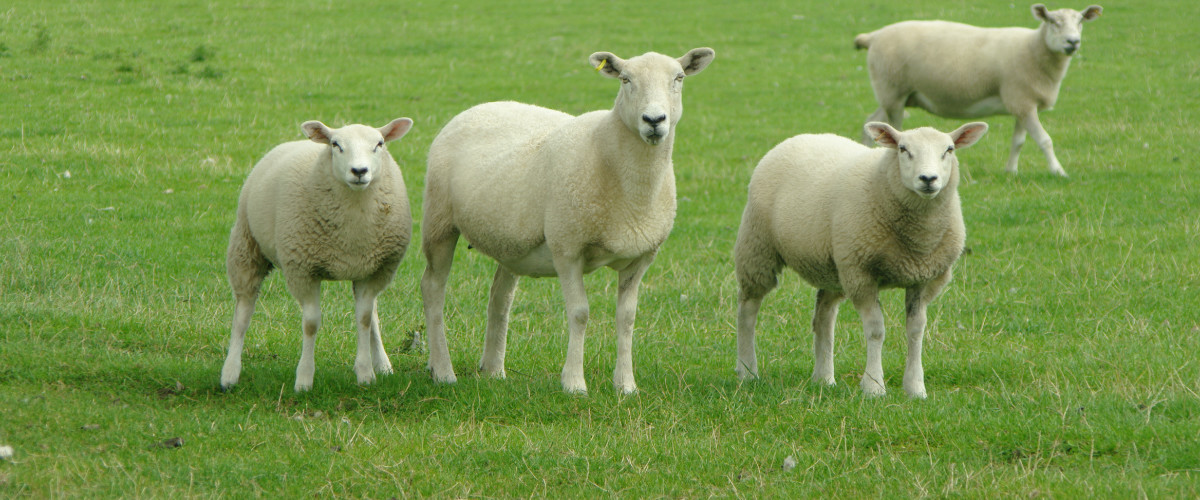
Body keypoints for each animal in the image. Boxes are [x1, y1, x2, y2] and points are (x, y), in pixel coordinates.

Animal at [223, 116, 415, 388]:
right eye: (336, 145)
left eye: (379, 144)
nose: (359, 171)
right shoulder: (302, 269)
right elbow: (311, 324)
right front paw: (304, 379)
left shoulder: (373, 270)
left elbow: (365, 319)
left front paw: (366, 373)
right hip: (246, 245)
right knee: (243, 312)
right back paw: (230, 372)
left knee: (374, 316)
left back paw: (383, 364)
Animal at [420, 46, 710, 393]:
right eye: (626, 79)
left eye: (678, 78)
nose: (654, 120)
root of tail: (479, 107)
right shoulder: (567, 248)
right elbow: (580, 313)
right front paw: (574, 383)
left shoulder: (641, 257)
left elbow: (626, 318)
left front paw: (626, 384)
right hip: (439, 222)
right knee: (433, 289)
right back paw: (443, 370)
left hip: (511, 241)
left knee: (500, 297)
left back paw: (492, 369)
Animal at [734, 119, 988, 398]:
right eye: (903, 149)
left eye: (949, 150)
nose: (928, 179)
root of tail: (802, 136)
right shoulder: (861, 274)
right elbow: (876, 330)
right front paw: (874, 386)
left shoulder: (923, 279)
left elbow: (916, 330)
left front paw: (915, 388)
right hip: (758, 247)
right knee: (748, 310)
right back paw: (747, 370)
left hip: (833, 265)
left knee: (823, 316)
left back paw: (824, 378)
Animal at [859, 2, 1099, 175]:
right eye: (1053, 21)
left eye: (1080, 21)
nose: (1073, 42)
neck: (1033, 48)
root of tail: (873, 35)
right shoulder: (1022, 101)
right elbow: (1044, 140)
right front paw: (1059, 172)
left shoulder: (1021, 103)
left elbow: (1018, 142)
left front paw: (1011, 171)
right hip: (893, 91)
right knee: (893, 131)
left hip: (896, 95)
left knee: (870, 122)